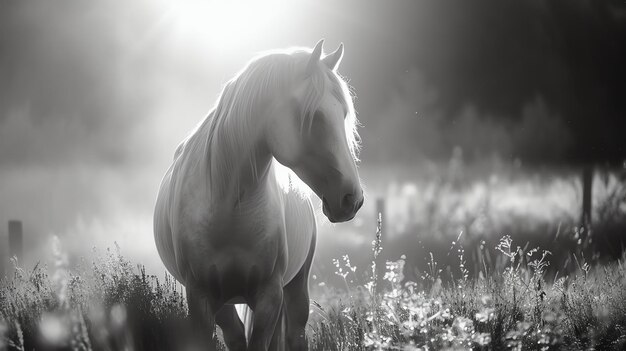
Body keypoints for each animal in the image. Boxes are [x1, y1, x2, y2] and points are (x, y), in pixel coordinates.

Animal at [152, 40, 364, 350]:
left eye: (344, 115)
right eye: (314, 117)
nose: (352, 199)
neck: (229, 207)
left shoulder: (269, 295)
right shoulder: (201, 298)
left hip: (296, 288)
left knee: (294, 334)